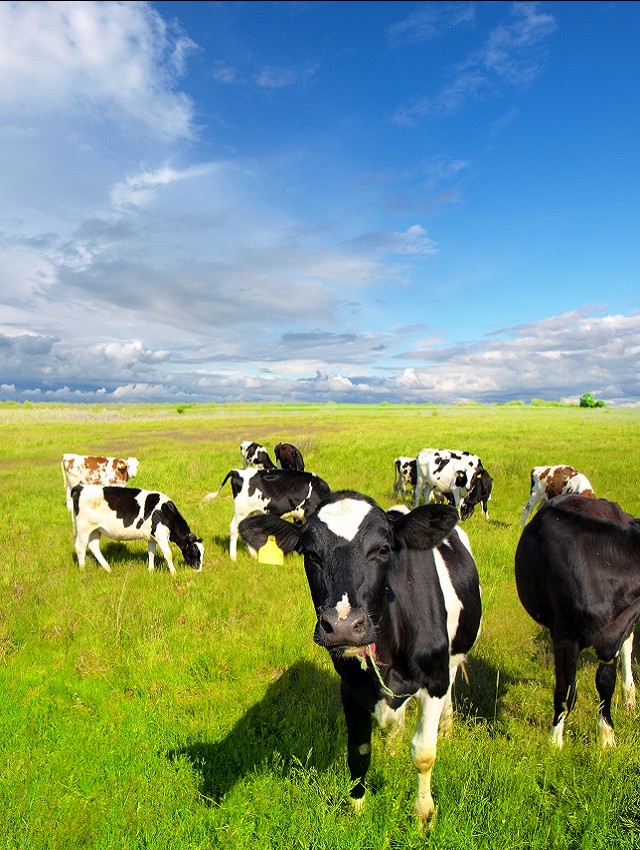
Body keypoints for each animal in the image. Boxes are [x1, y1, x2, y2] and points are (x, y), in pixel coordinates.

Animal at [69, 480, 202, 572]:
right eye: (194, 551)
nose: (198, 570)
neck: (164, 512)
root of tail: (81, 487)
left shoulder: (152, 537)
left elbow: (151, 553)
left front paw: (150, 570)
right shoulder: (161, 535)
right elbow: (168, 554)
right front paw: (174, 573)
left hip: (96, 529)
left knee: (93, 546)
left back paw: (108, 569)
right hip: (83, 528)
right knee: (80, 547)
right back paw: (83, 570)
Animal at [200, 468, 330, 560]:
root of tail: (236, 471)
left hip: (249, 512)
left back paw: (254, 555)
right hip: (241, 511)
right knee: (234, 528)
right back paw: (233, 557)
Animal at [239, 486, 480, 824]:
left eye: (383, 549)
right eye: (310, 553)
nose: (343, 626)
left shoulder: (434, 679)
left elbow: (424, 753)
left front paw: (423, 815)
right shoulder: (350, 687)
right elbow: (359, 751)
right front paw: (356, 807)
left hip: (455, 656)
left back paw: (445, 726)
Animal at [516, 490, 640, 748]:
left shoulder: (615, 631)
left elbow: (606, 683)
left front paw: (606, 737)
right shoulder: (566, 637)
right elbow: (566, 691)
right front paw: (554, 742)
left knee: (628, 645)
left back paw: (629, 696)